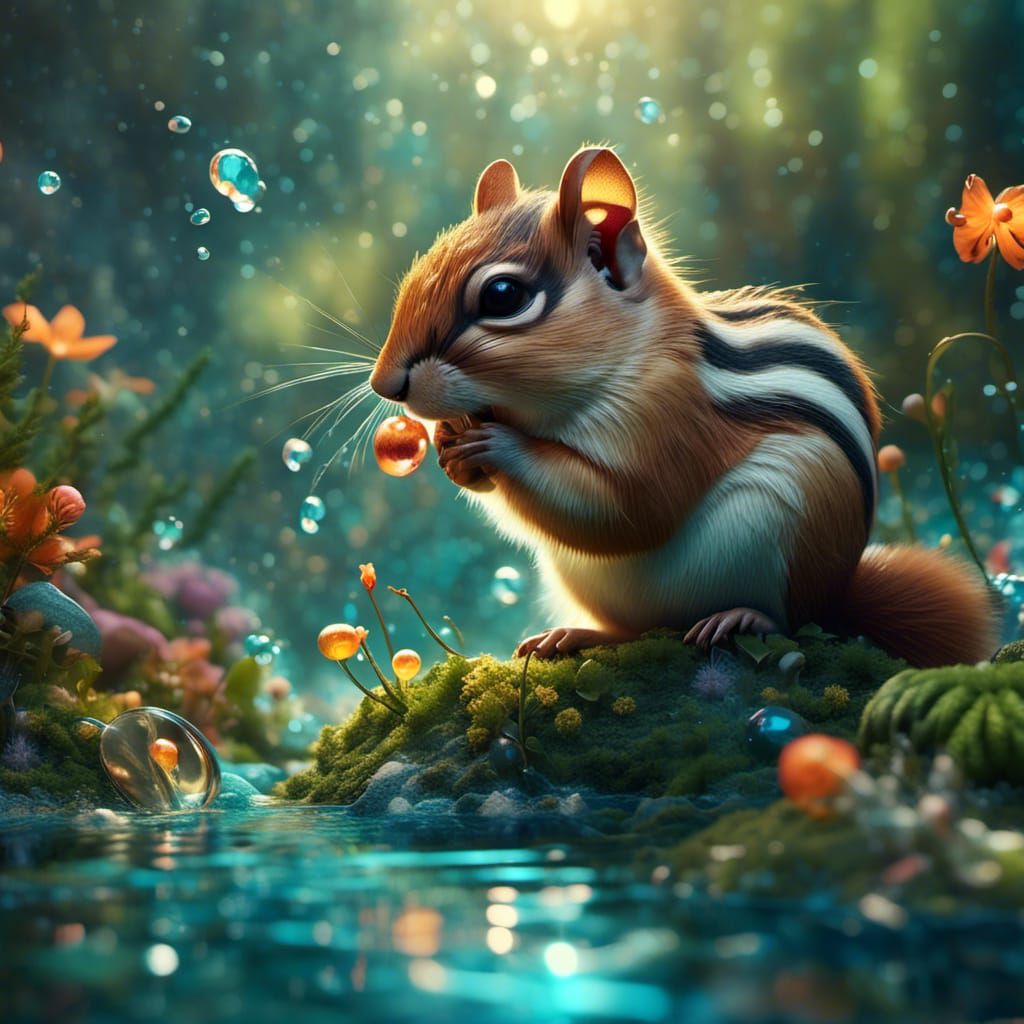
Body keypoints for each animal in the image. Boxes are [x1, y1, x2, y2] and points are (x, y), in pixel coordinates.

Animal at [370, 145, 997, 667]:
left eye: (504, 296)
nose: (385, 385)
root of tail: (840, 593)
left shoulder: (669, 416)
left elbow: (628, 508)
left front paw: (500, 446)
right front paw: (452, 449)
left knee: (791, 623)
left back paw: (738, 617)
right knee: (637, 629)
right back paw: (573, 635)